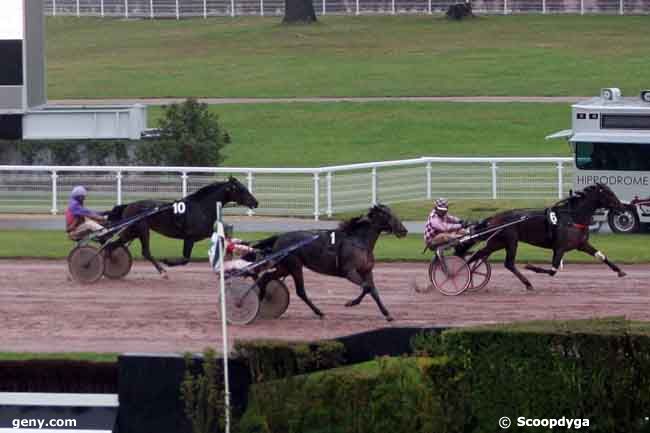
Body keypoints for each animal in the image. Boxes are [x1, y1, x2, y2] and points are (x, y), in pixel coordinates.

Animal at [252, 203, 404, 320]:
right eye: (388, 215)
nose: (403, 230)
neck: (359, 241)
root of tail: (280, 236)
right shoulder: (349, 271)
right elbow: (366, 287)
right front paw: (350, 303)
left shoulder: (366, 271)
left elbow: (373, 290)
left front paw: (387, 314)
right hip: (294, 265)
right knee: (300, 291)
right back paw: (319, 312)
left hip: (285, 267)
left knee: (266, 278)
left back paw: (262, 298)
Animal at [454, 183, 624, 290]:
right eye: (609, 193)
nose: (622, 207)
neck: (572, 217)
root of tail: (494, 218)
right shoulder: (560, 247)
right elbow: (553, 270)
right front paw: (531, 266)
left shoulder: (581, 245)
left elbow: (601, 255)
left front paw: (620, 271)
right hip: (510, 240)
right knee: (506, 263)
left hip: (498, 242)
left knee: (478, 255)